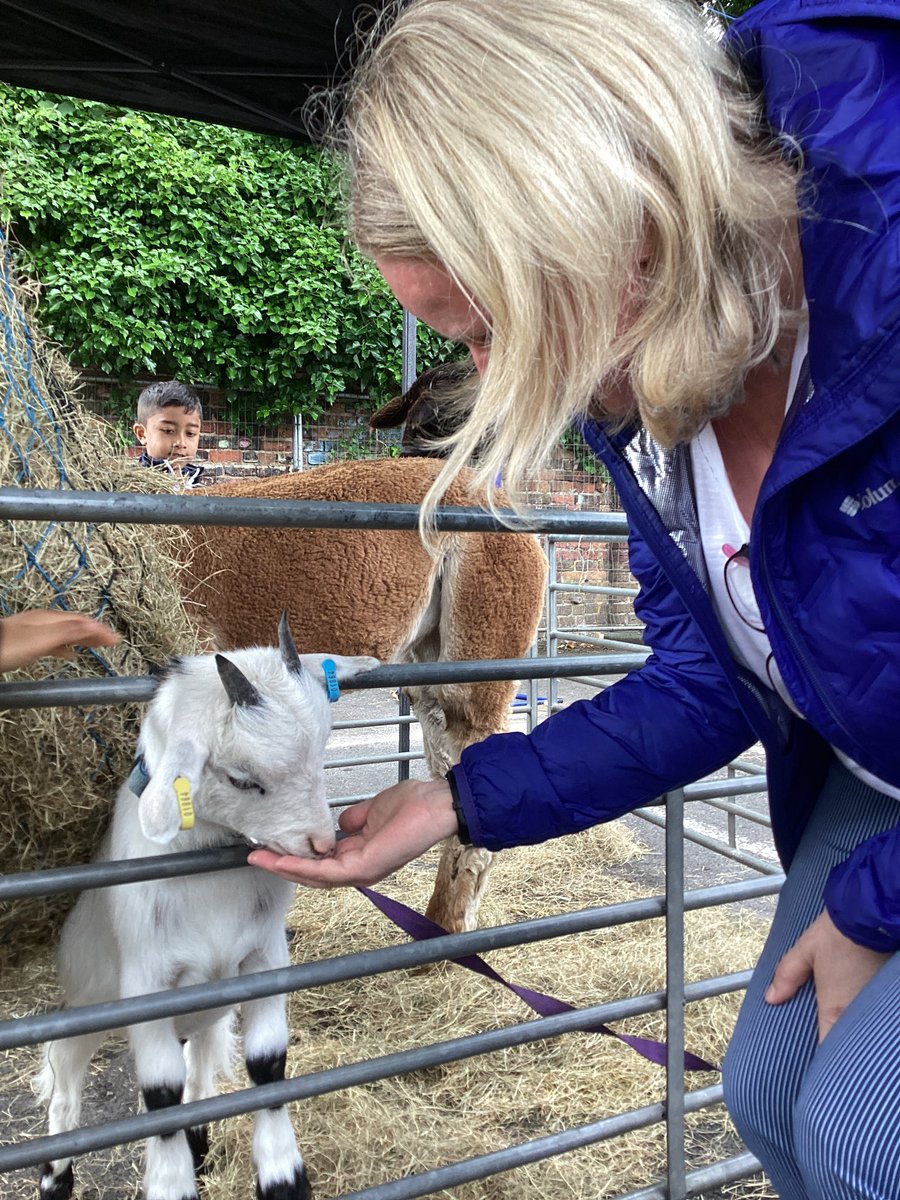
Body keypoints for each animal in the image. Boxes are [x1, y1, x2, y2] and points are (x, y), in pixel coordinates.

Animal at [37, 617, 378, 1200]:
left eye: (323, 749)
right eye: (242, 778)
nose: (321, 844)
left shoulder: (264, 961)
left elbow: (266, 1065)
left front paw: (284, 1176)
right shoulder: (145, 985)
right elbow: (160, 1096)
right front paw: (171, 1183)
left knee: (197, 1057)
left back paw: (198, 1142)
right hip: (87, 1000)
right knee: (65, 1066)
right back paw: (55, 1176)